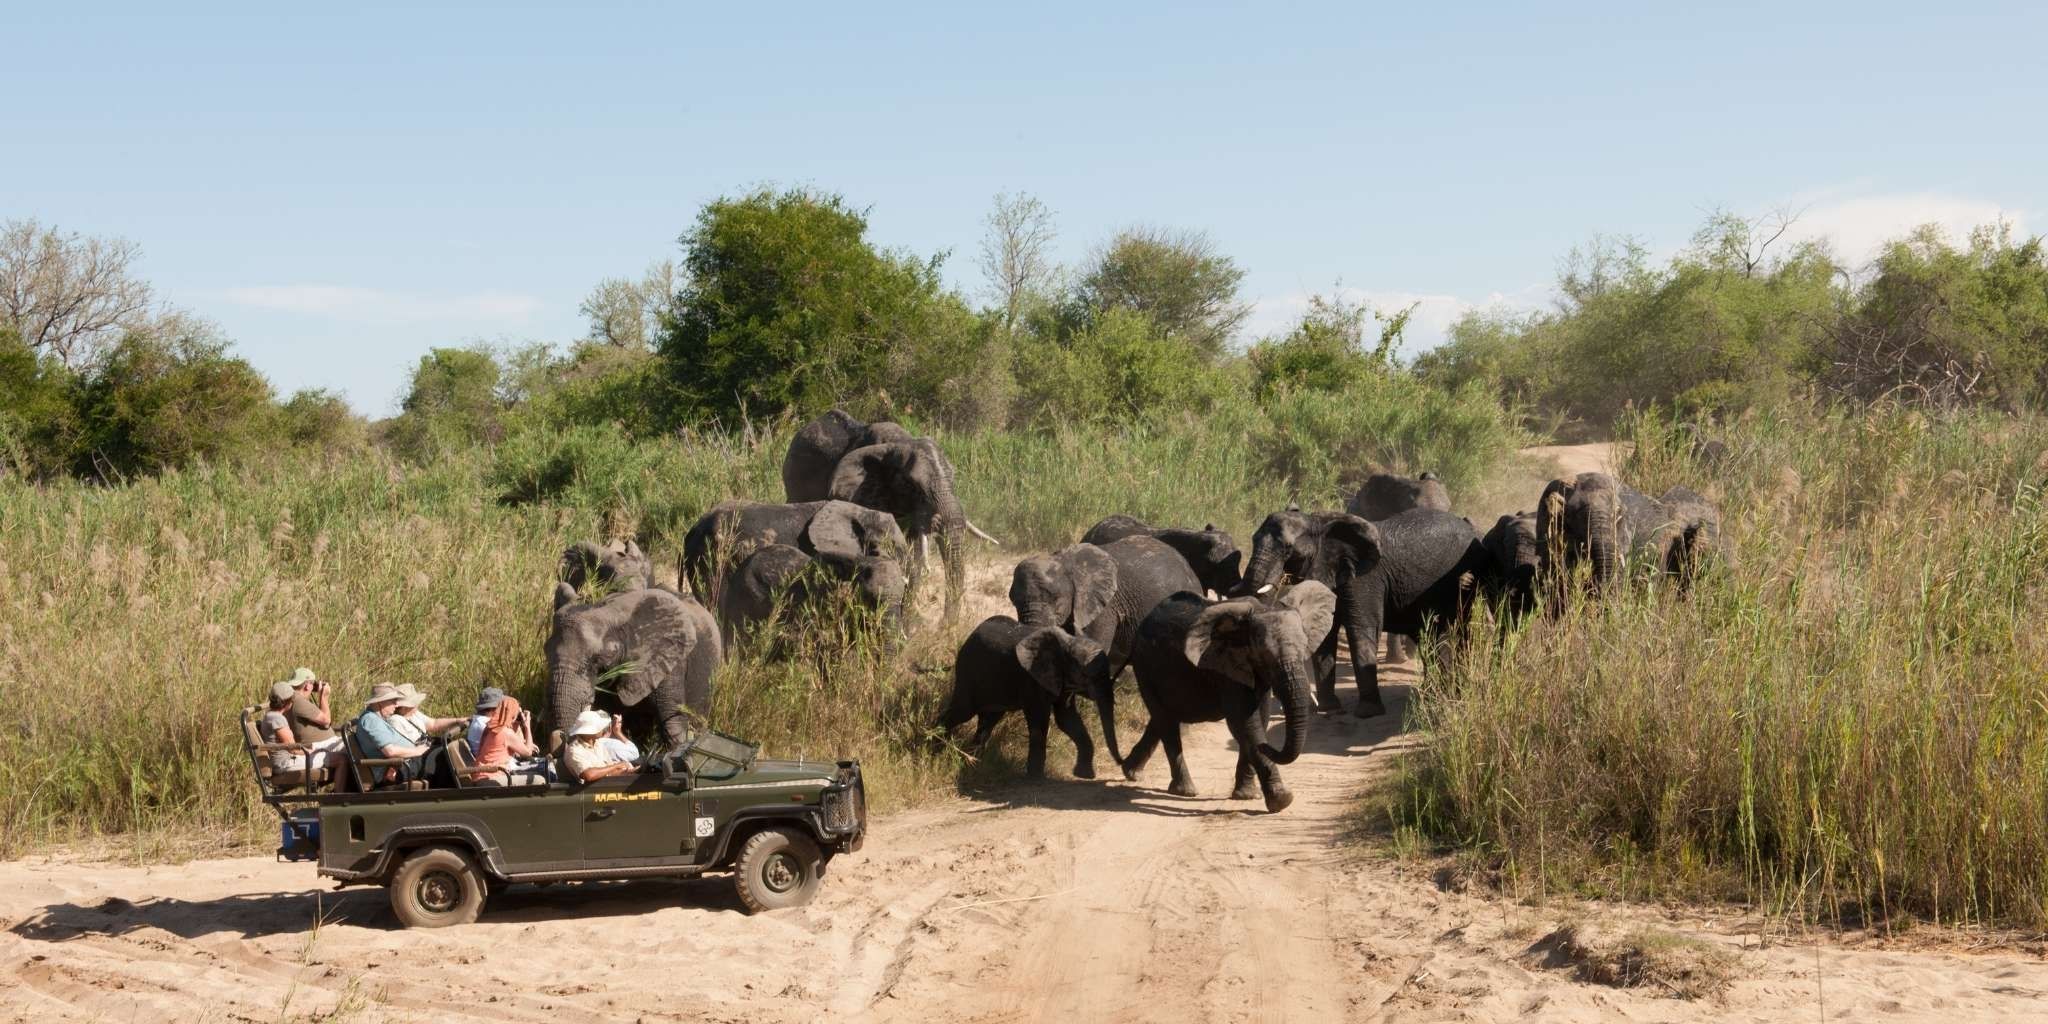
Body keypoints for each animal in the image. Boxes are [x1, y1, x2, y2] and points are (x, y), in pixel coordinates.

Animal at [936, 617, 1113, 779]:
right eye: (1085, 673)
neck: (1067, 643)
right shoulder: (1032, 678)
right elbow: (1039, 721)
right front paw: (1037, 779)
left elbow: (1067, 719)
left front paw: (1084, 775)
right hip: (968, 672)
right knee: (962, 711)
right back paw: (935, 750)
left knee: (989, 720)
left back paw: (974, 764)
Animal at [1119, 581, 1336, 813]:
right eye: (1264, 656)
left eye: (1305, 648)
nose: (1269, 746)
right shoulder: (1227, 668)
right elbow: (1244, 723)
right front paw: (1281, 801)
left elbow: (1261, 717)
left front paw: (1246, 795)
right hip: (1144, 666)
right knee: (1165, 722)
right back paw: (1185, 791)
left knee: (1163, 717)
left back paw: (1132, 772)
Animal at [1238, 507, 1490, 718]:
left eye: (1288, 549)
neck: (1319, 523)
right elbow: (1327, 634)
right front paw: (1329, 709)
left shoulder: (1364, 578)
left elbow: (1362, 629)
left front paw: (1367, 713)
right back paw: (1433, 694)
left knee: (1457, 630)